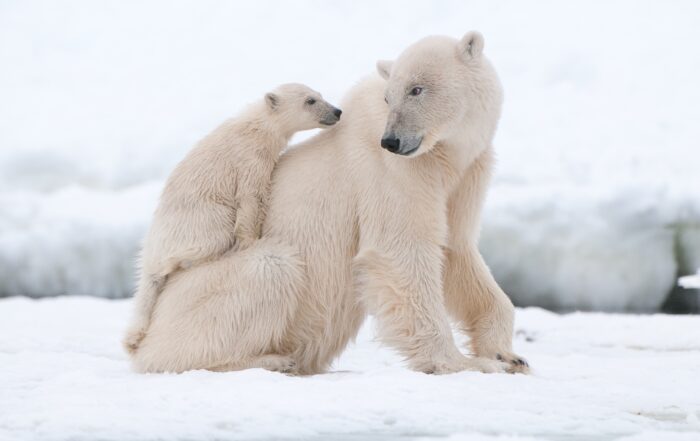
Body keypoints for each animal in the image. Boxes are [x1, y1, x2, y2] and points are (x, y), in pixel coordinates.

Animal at [122, 84, 342, 356]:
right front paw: (250, 241)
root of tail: (151, 250)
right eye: (310, 100)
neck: (257, 126)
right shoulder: (249, 159)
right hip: (200, 220)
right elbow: (250, 197)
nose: (337, 111)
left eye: (320, 95)